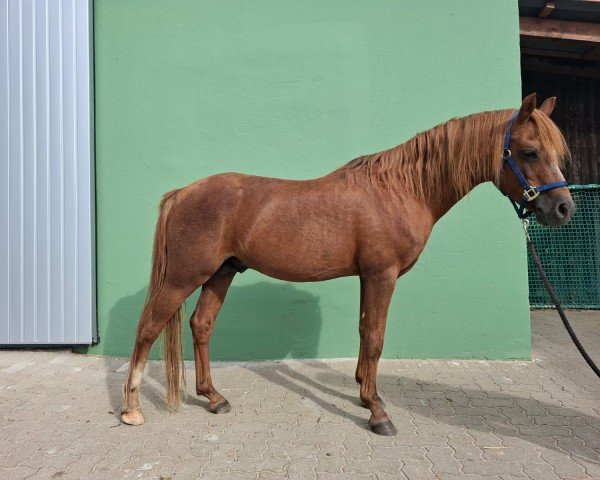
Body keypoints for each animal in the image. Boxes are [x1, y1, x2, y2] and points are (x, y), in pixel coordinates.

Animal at [119, 94, 576, 436]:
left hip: (222, 273)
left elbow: (363, 332)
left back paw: (214, 398)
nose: (563, 209)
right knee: (148, 328)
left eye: (557, 153)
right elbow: (375, 337)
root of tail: (183, 192)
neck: (403, 188)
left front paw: (364, 393)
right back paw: (131, 409)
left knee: (201, 326)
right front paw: (378, 413)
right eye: (529, 152)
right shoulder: (382, 275)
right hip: (184, 276)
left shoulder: (367, 277)